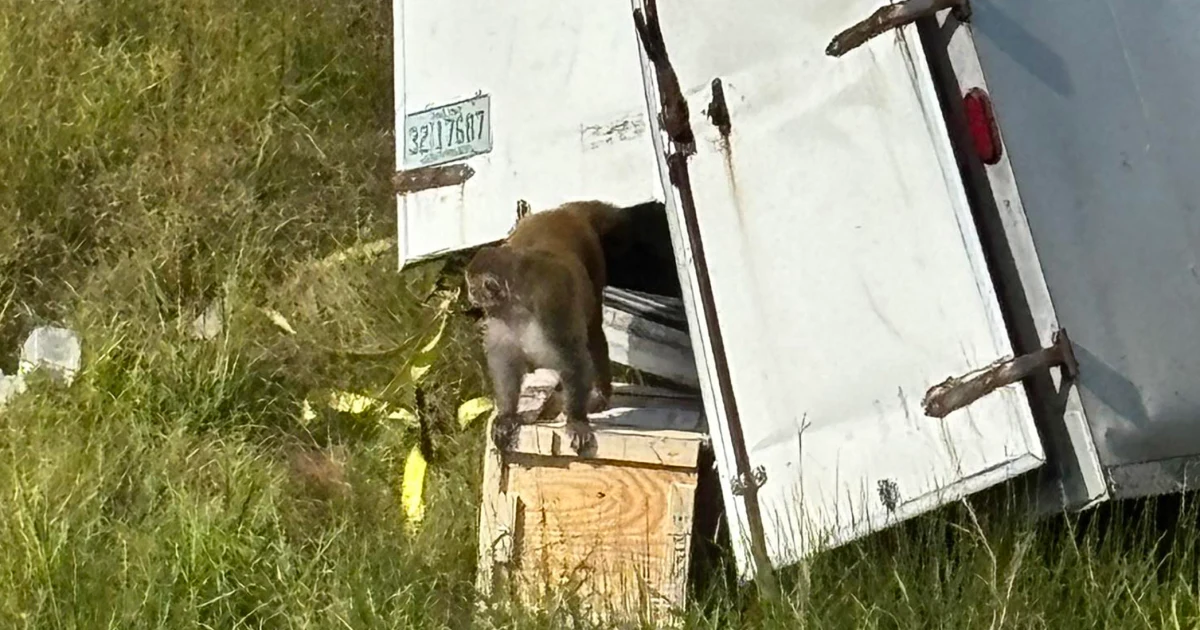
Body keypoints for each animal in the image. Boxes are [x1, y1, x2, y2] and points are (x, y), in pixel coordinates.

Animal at [465, 201, 625, 455]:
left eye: (473, 287)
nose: (470, 296)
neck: (517, 303)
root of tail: (563, 211)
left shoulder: (550, 304)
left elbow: (572, 357)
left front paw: (576, 420)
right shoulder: (500, 318)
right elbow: (505, 361)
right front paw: (507, 414)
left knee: (593, 332)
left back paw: (600, 394)